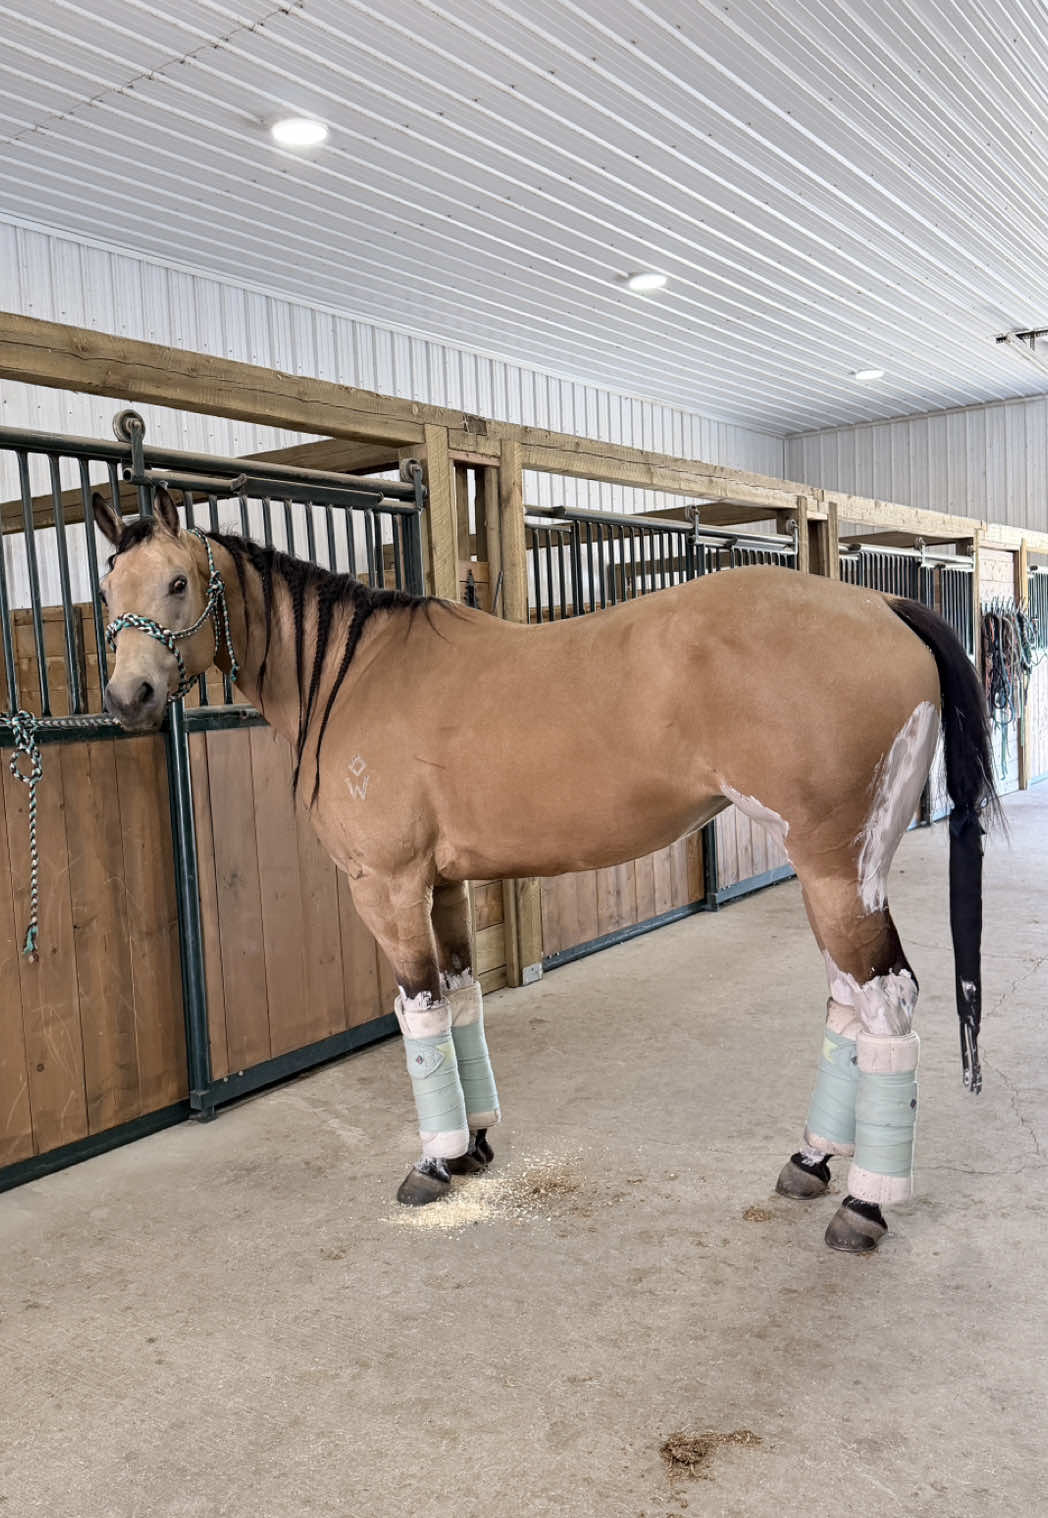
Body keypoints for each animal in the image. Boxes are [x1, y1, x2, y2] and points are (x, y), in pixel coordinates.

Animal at [92, 488, 996, 1253]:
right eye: (106, 590)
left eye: (178, 582)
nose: (128, 696)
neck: (355, 674)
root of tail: (881, 604)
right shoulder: (443, 885)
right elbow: (460, 1003)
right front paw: (473, 1145)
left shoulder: (386, 886)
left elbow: (418, 1013)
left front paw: (433, 1162)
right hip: (843, 875)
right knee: (850, 1002)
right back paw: (812, 1162)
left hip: (835, 870)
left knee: (886, 1005)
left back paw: (865, 1202)